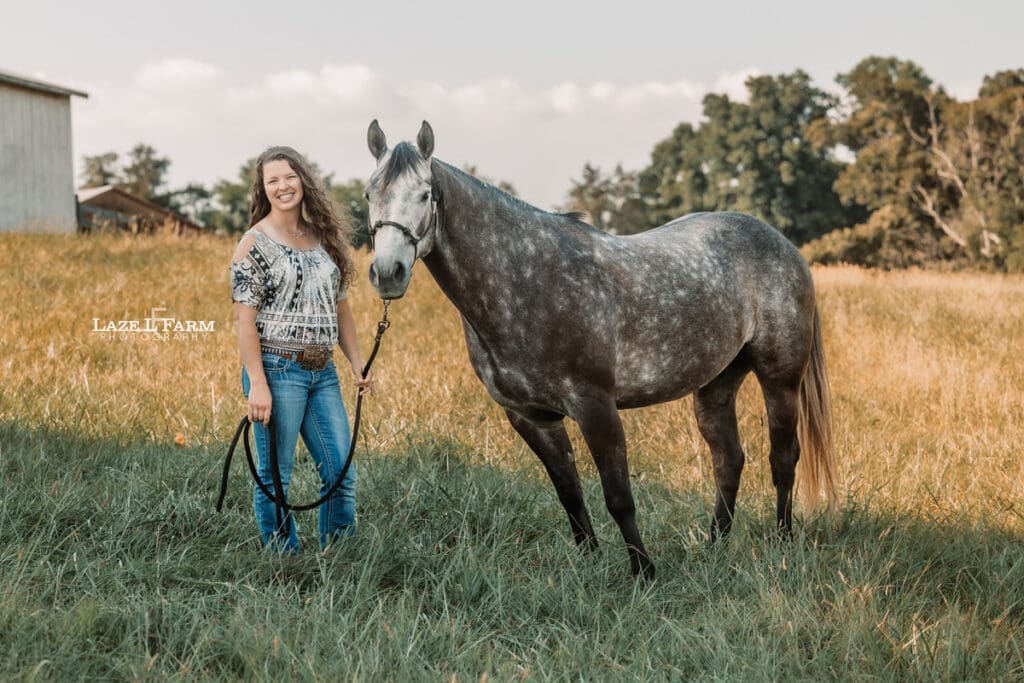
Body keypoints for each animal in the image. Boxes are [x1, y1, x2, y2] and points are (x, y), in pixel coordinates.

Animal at [363, 120, 837, 580]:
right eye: (370, 194)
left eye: (426, 194)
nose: (388, 273)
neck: (527, 280)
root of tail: (783, 244)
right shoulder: (531, 418)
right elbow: (570, 494)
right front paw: (589, 562)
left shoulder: (596, 407)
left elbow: (618, 496)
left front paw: (643, 572)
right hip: (715, 385)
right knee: (729, 460)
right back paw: (714, 546)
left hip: (780, 379)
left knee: (783, 458)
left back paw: (782, 544)